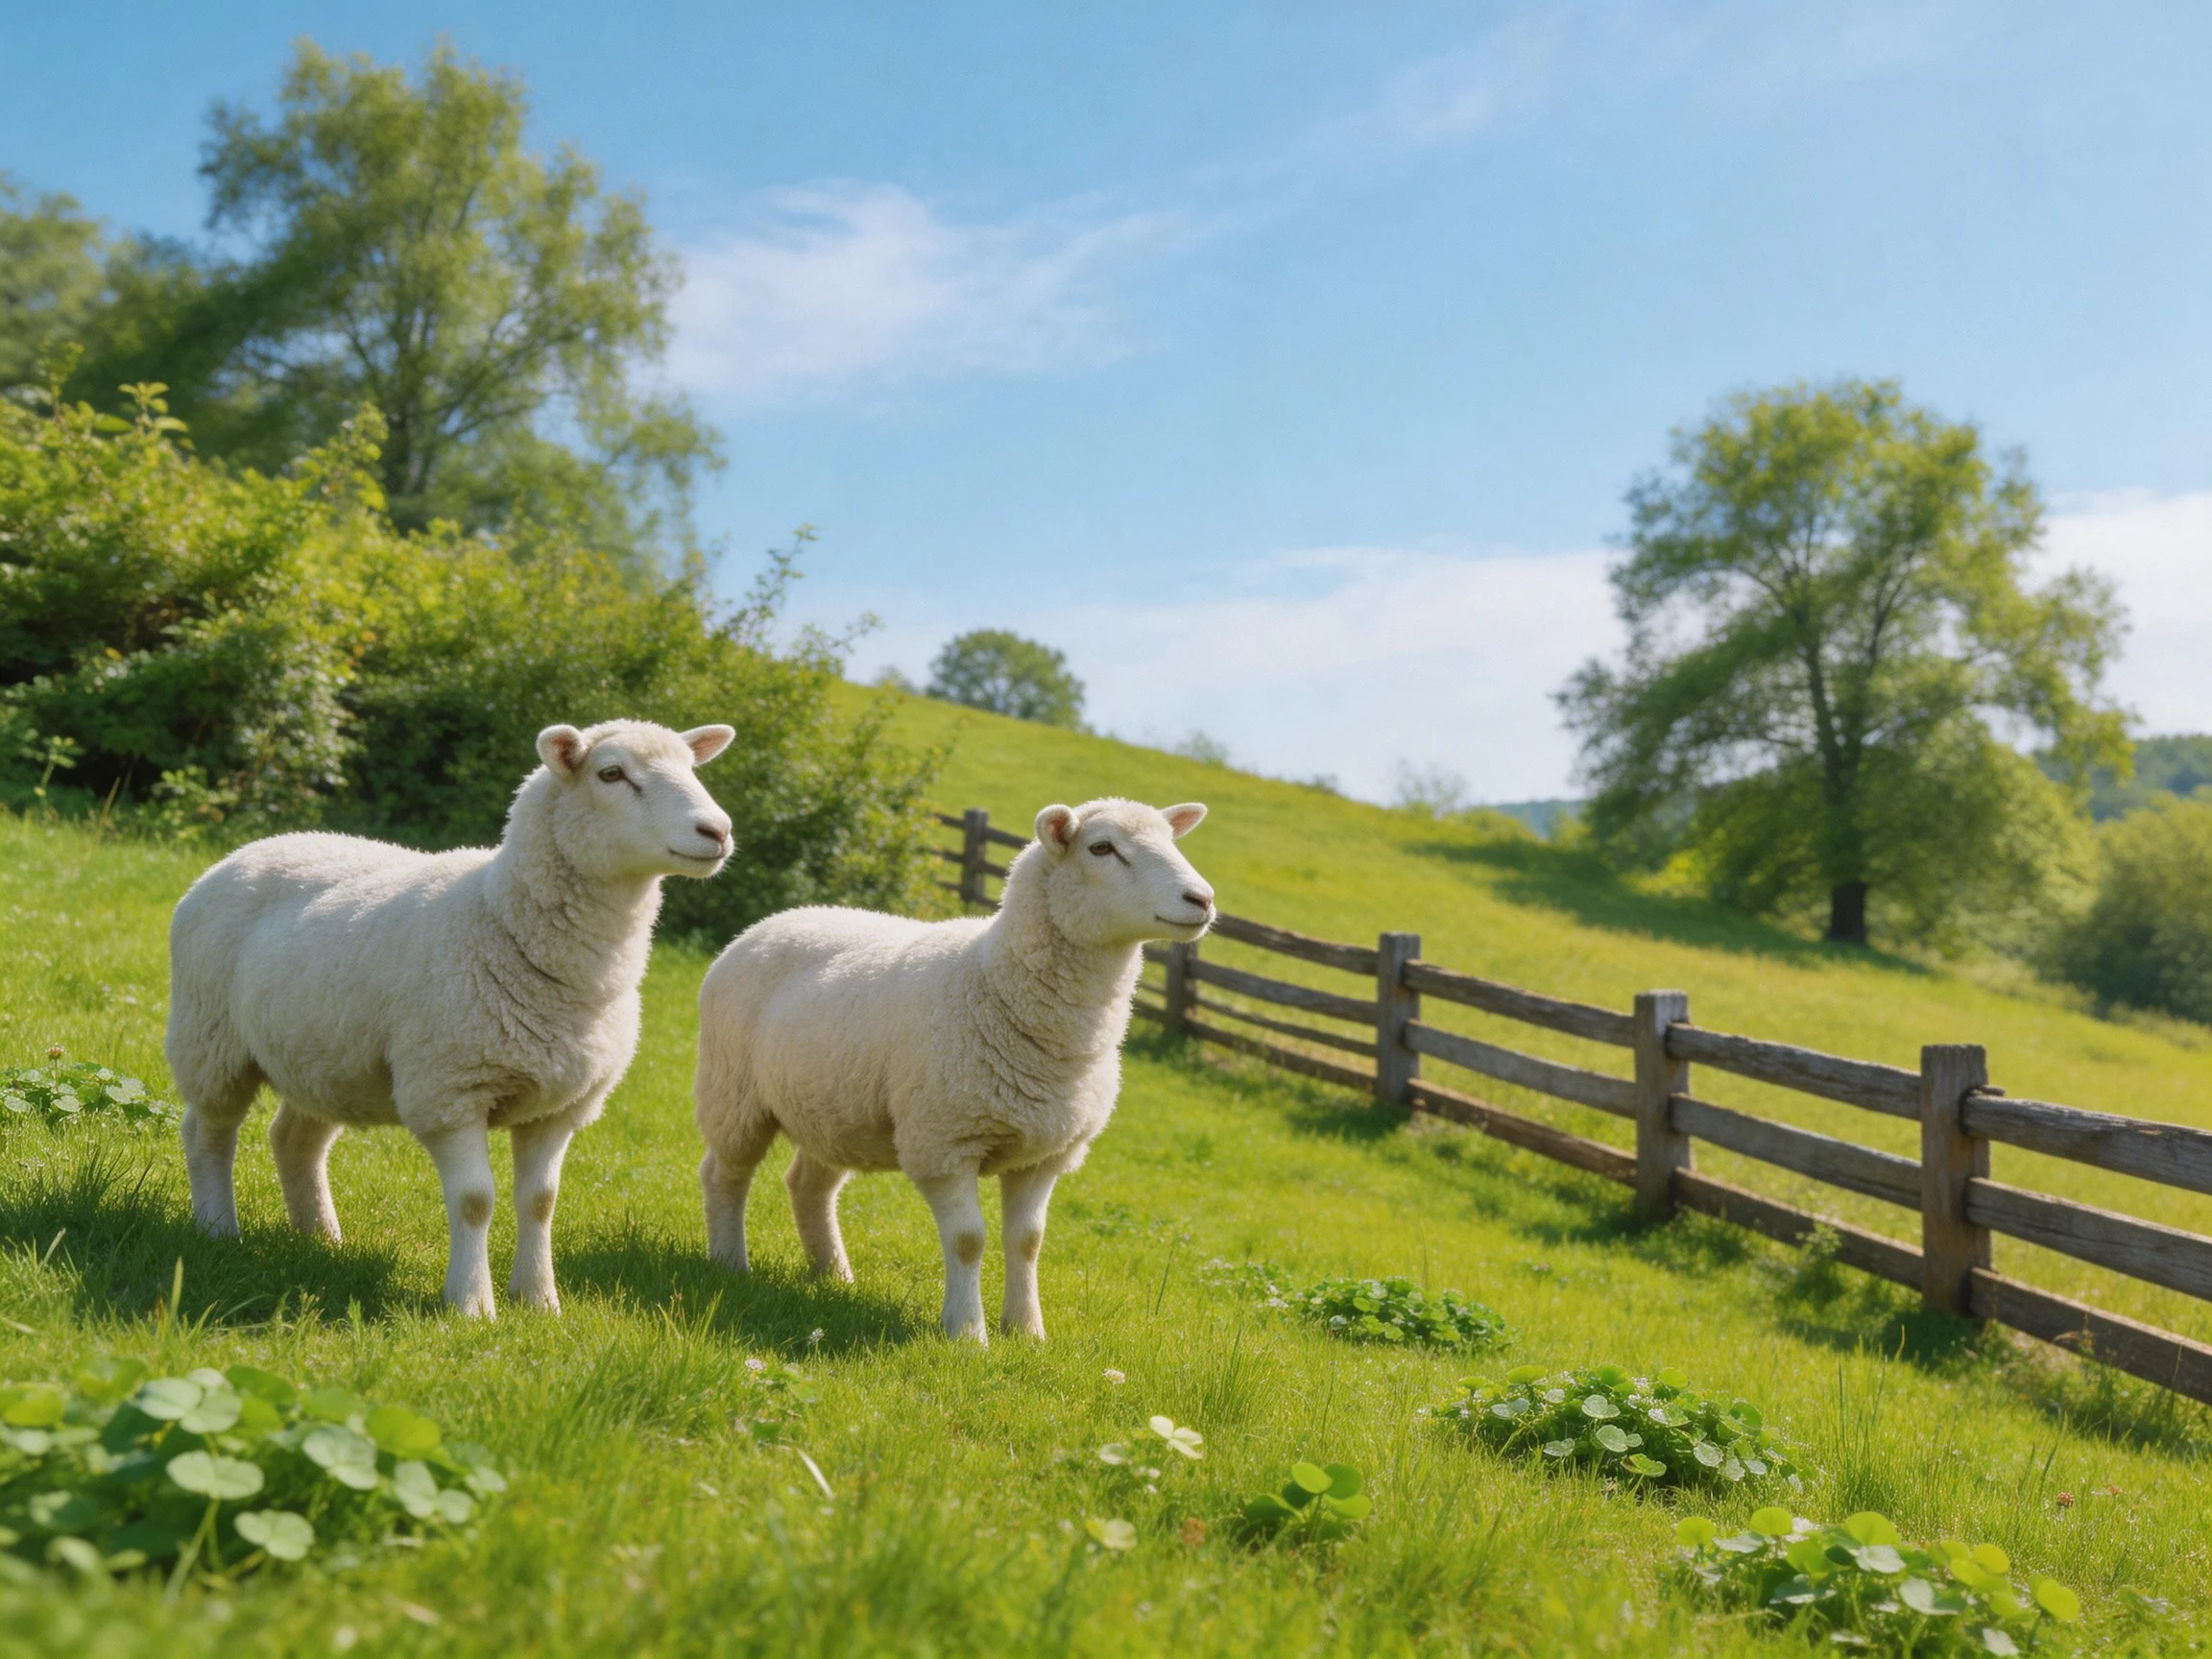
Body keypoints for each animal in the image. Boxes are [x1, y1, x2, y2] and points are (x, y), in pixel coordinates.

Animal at [164, 719, 737, 1317]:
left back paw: (319, 1236)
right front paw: (471, 1304)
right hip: (210, 1038)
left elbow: (541, 1201)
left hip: (324, 1055)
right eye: (611, 774)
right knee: (208, 1133)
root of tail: (252, 848)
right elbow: (473, 1201)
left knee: (294, 1139)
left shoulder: (560, 1105)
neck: (503, 921)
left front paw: (539, 1300)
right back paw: (217, 1228)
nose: (717, 831)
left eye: (691, 768)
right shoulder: (451, 1091)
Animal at [693, 797, 1214, 1342]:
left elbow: (1028, 1240)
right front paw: (967, 1333)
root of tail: (771, 921)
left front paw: (1027, 1331)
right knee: (725, 1174)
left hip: (834, 1109)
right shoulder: (944, 1144)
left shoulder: (1044, 1154)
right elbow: (968, 1240)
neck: (996, 983)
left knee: (807, 1186)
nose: (1201, 899)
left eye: (1170, 840)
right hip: (733, 1091)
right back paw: (730, 1262)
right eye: (1101, 848)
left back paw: (833, 1274)